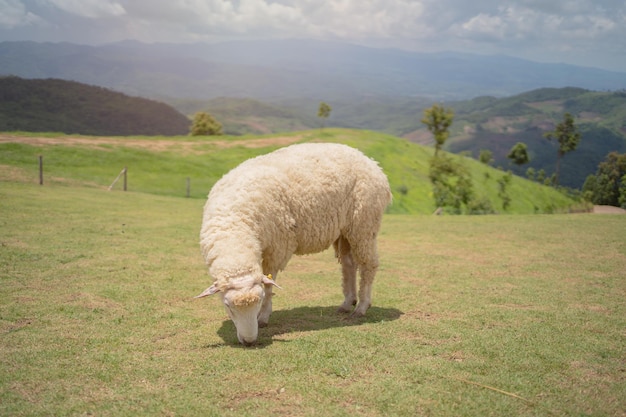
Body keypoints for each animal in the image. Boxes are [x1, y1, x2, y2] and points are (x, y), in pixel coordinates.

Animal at [195, 141, 390, 342]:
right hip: (345, 230)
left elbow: (269, 284)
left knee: (368, 265)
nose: (249, 341)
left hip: (364, 223)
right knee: (349, 263)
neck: (234, 223)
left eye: (258, 301)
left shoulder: (277, 247)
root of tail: (373, 164)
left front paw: (263, 317)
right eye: (228, 306)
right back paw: (347, 302)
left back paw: (362, 307)